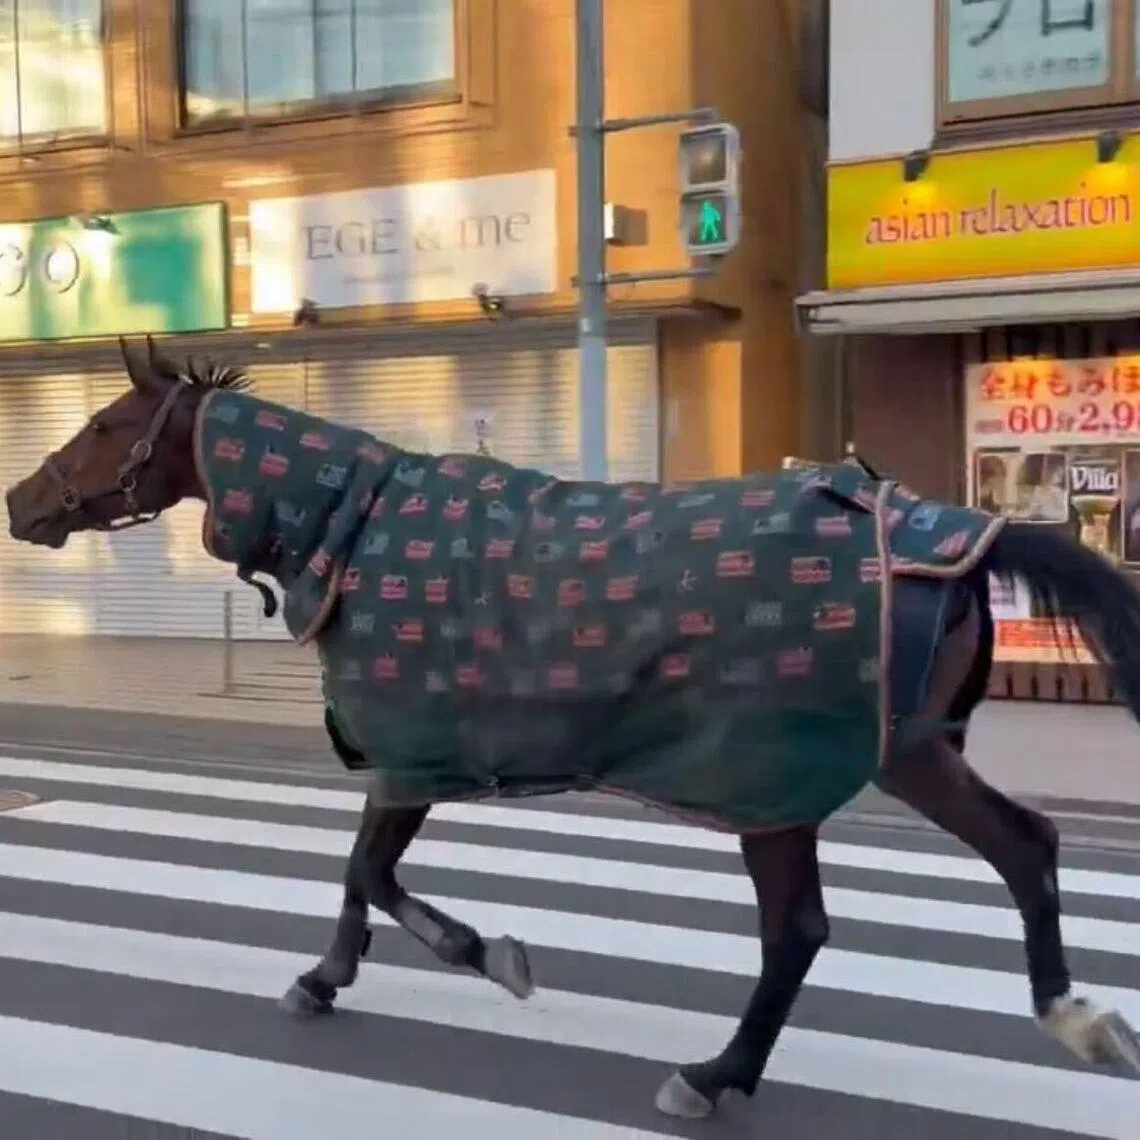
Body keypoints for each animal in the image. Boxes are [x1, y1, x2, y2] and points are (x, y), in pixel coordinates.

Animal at [6, 334, 1140, 1122]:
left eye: (106, 424)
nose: (23, 502)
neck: (353, 529)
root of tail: (955, 533)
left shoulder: (410, 754)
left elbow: (369, 872)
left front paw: (479, 952)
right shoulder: (407, 757)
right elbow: (359, 876)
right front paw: (327, 978)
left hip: (801, 772)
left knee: (806, 927)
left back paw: (714, 1074)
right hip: (897, 753)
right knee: (1020, 848)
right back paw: (1074, 1016)